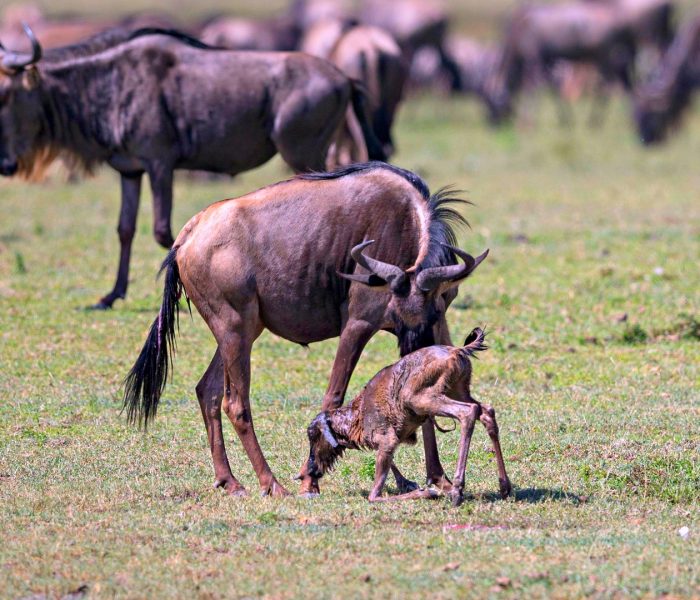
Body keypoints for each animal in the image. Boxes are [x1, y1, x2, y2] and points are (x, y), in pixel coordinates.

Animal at [298, 328, 512, 506]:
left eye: (313, 436)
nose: (312, 469)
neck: (356, 419)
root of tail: (457, 351)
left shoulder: (387, 441)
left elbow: (374, 495)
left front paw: (430, 492)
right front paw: (417, 485)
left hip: (421, 398)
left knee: (468, 412)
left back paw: (458, 490)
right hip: (457, 390)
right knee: (486, 411)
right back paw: (504, 487)